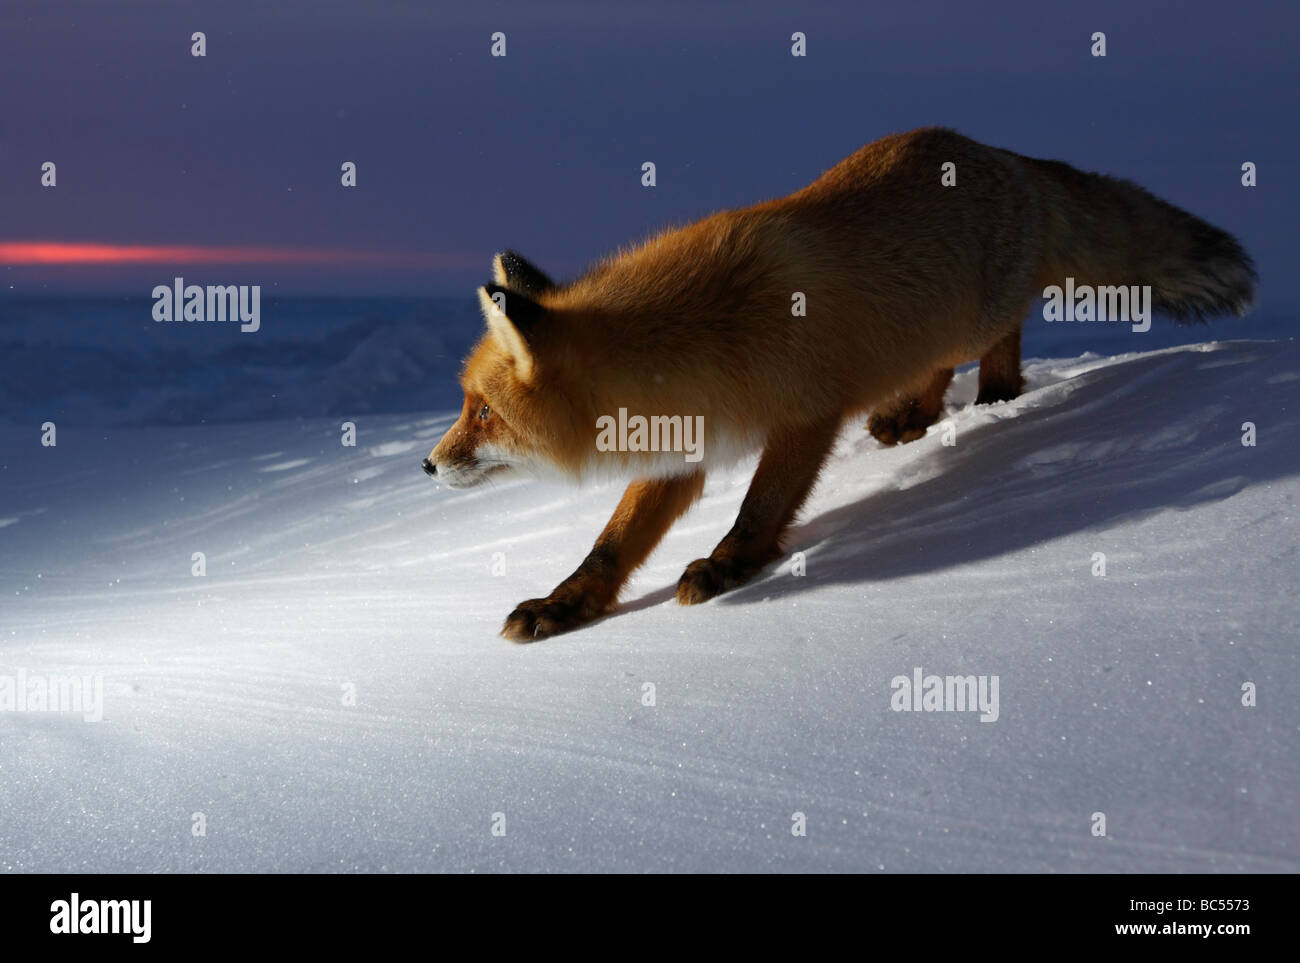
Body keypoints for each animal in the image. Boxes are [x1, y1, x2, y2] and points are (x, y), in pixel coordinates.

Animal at [421, 126, 1253, 639]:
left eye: (481, 412)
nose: (426, 464)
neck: (694, 337)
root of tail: (1001, 151)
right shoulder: (681, 450)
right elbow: (609, 546)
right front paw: (565, 606)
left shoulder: (805, 414)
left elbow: (759, 508)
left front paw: (729, 566)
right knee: (930, 364)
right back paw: (913, 414)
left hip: (971, 315)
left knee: (1002, 335)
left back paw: (993, 394)